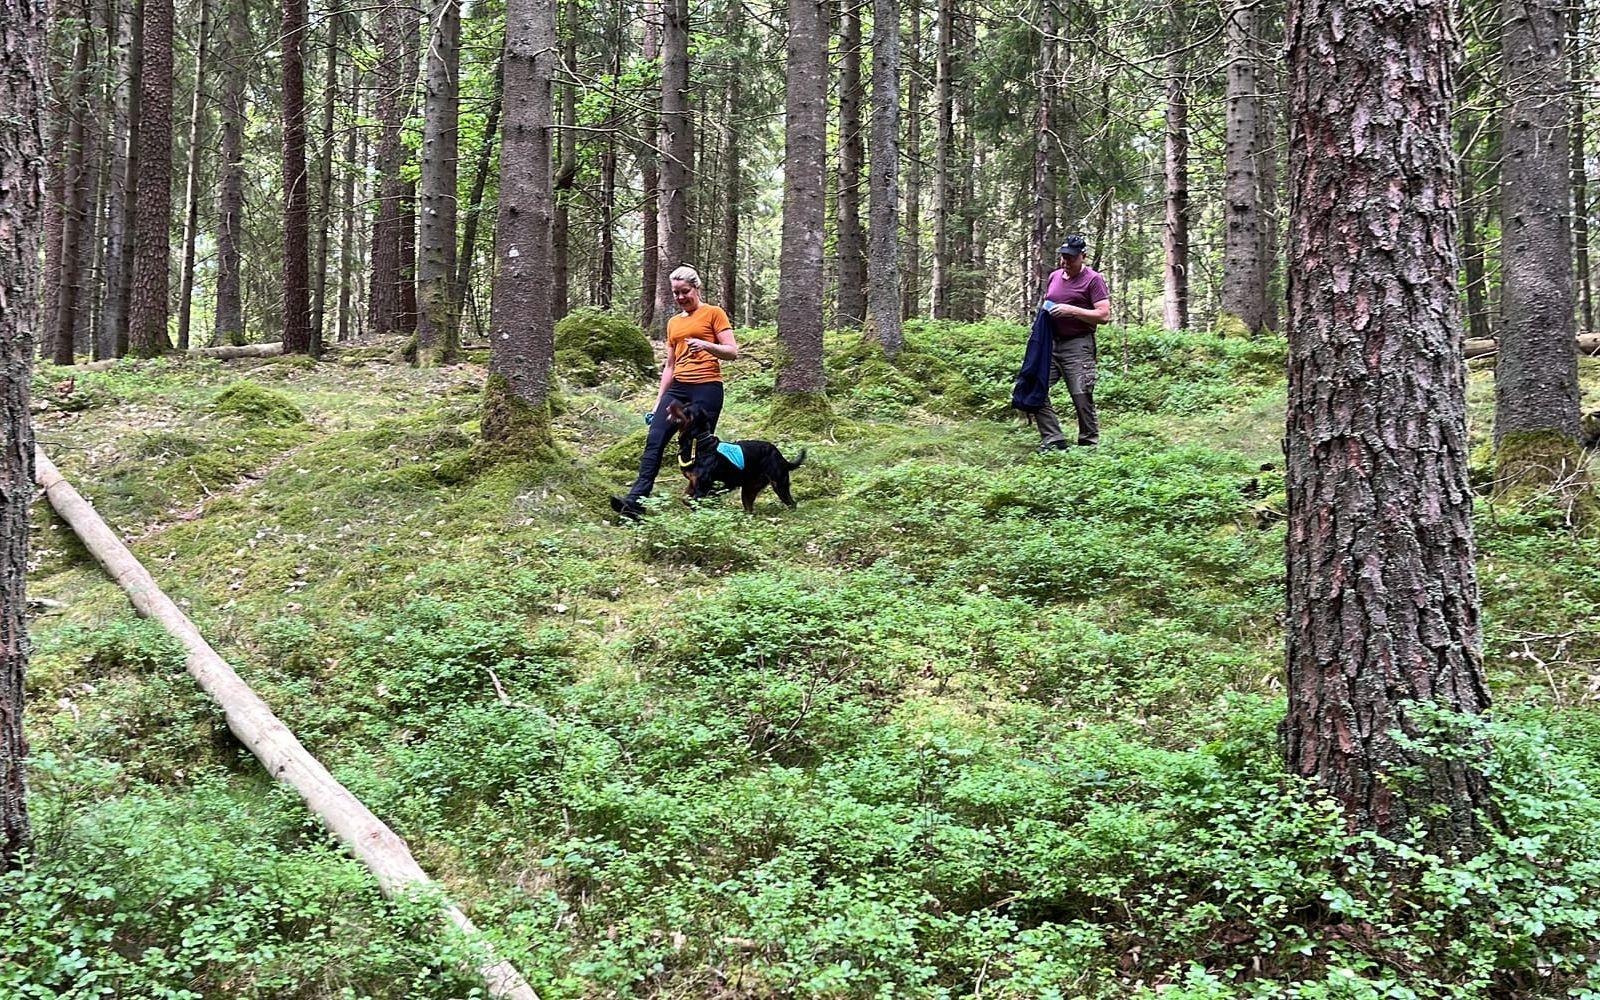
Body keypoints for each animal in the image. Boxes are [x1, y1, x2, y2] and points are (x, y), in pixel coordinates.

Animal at [665, 400, 806, 512]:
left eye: (686, 408)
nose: (671, 402)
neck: (699, 443)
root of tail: (779, 455)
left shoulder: (702, 489)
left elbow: (694, 503)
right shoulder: (692, 483)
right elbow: (685, 498)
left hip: (779, 483)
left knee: (792, 503)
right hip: (749, 489)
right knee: (749, 508)